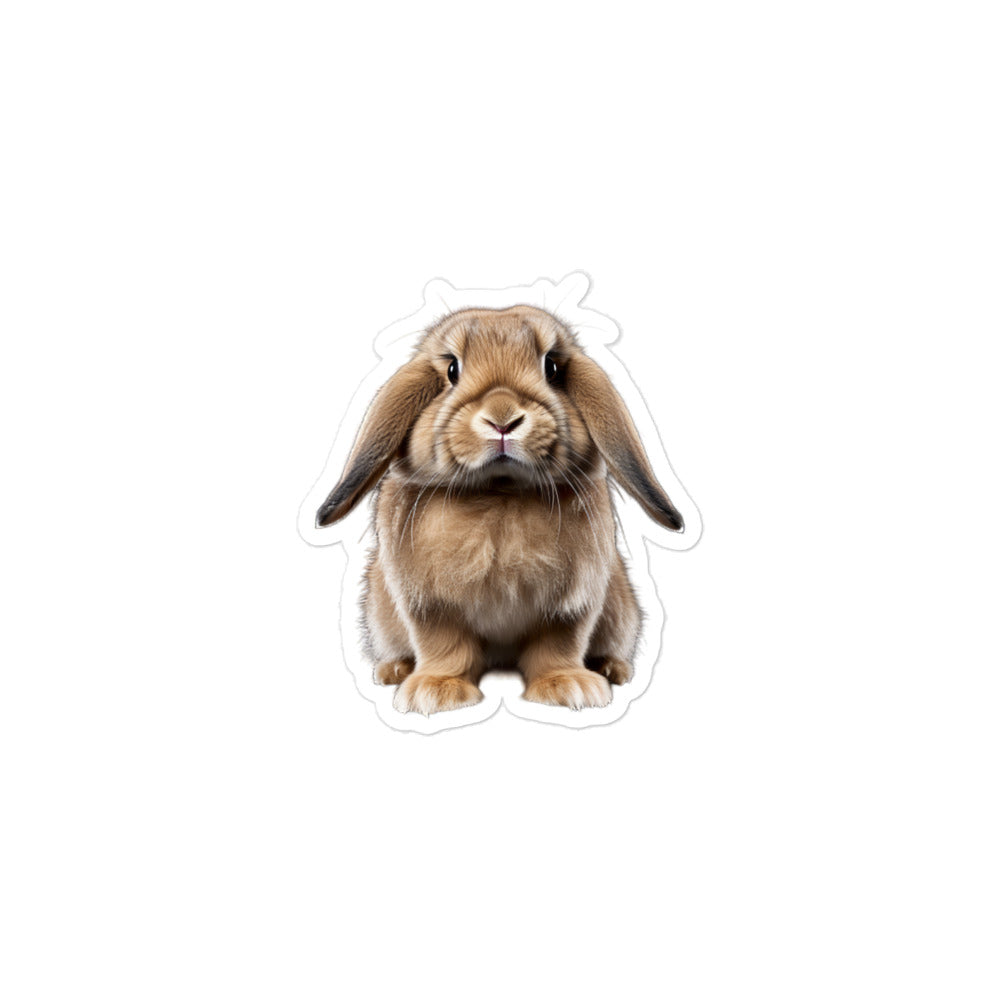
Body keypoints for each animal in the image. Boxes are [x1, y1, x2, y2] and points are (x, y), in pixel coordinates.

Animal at [315, 305, 684, 715]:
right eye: (452, 370)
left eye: (551, 367)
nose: (503, 418)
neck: (499, 495)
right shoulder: (427, 603)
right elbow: (443, 643)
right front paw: (435, 692)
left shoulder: (572, 602)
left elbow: (560, 642)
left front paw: (569, 687)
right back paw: (394, 670)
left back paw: (611, 668)